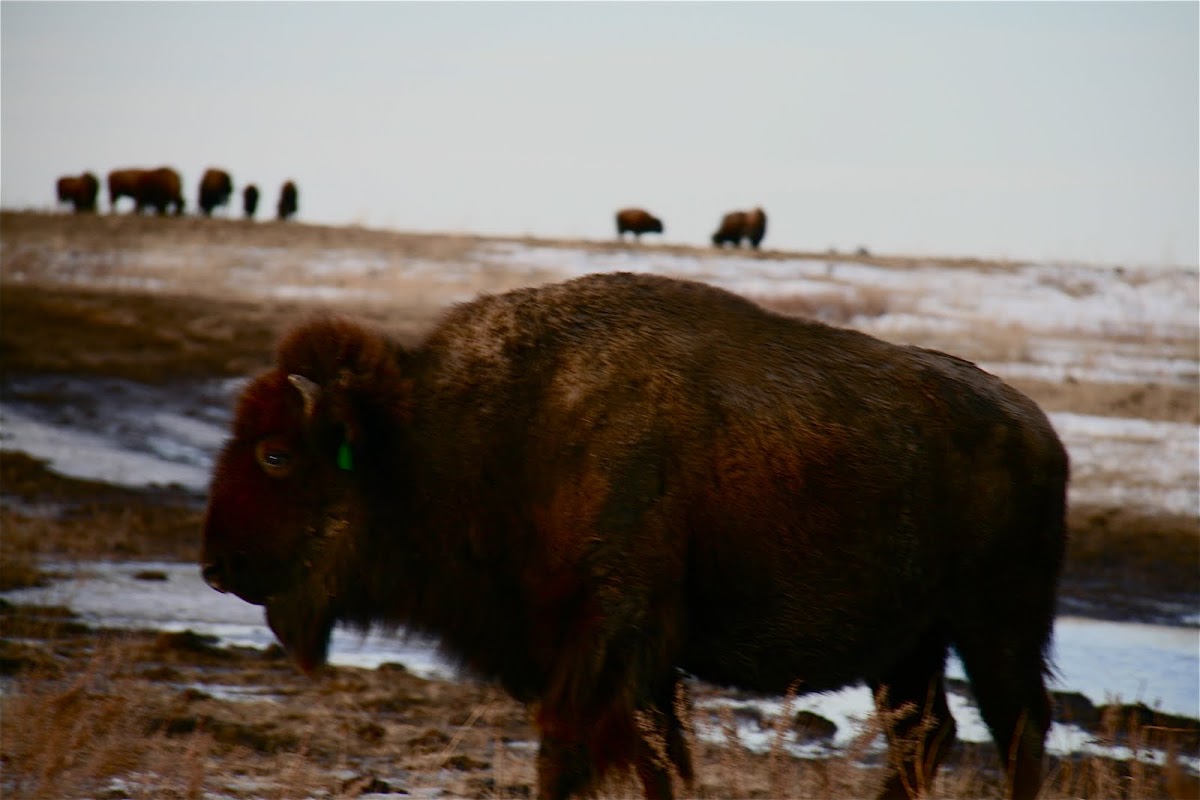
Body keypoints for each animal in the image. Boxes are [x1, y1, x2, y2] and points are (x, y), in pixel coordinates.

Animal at [204, 272, 1070, 796]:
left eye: (276, 454)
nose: (216, 565)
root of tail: (1039, 431)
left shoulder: (608, 641)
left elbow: (571, 752)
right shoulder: (634, 670)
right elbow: (661, 763)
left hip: (995, 631)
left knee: (1018, 731)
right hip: (910, 650)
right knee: (930, 734)